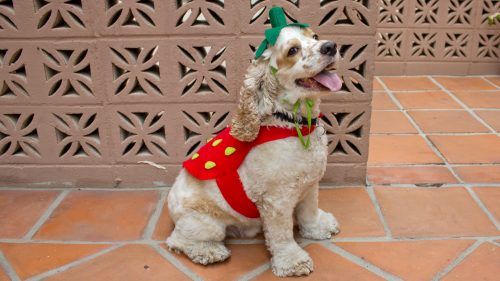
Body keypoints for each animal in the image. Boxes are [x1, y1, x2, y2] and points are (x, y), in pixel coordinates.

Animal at [166, 15, 342, 276]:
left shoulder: (310, 185)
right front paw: (292, 261)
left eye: (315, 37)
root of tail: (170, 202)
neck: (292, 124)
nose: (330, 46)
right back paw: (210, 252)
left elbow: (309, 212)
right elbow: (282, 235)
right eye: (292, 50)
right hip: (205, 222)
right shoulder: (276, 201)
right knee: (177, 240)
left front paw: (319, 227)